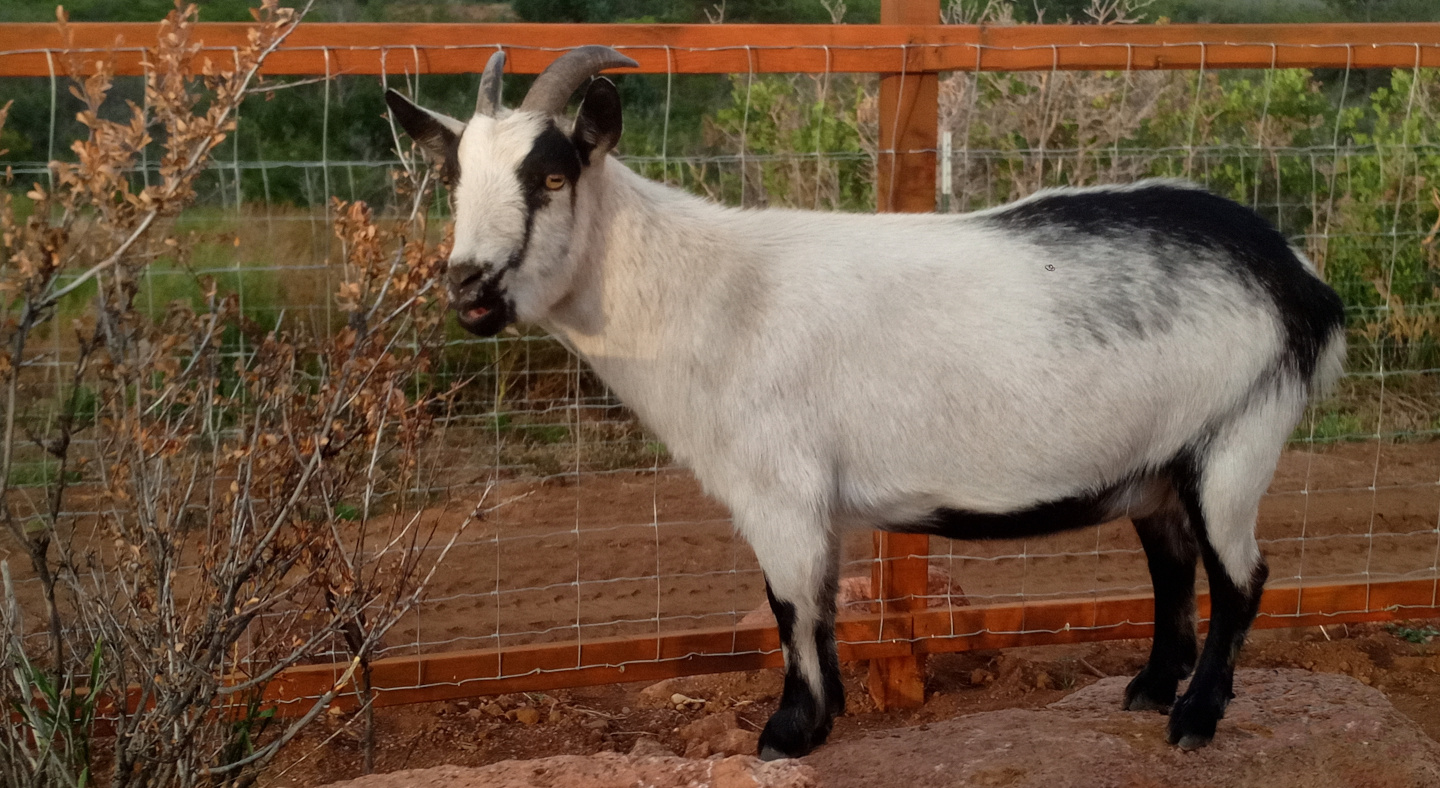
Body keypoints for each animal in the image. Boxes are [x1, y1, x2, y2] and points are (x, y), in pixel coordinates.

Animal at [385, 46, 1347, 760]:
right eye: (454, 179)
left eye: (551, 179)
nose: (469, 287)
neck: (709, 295)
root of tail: (1302, 284)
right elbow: (810, 601)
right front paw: (821, 717)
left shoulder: (780, 487)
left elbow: (791, 603)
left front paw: (790, 731)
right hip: (1160, 460)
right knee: (1174, 561)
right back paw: (1148, 691)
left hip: (1238, 437)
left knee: (1243, 577)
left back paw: (1195, 718)